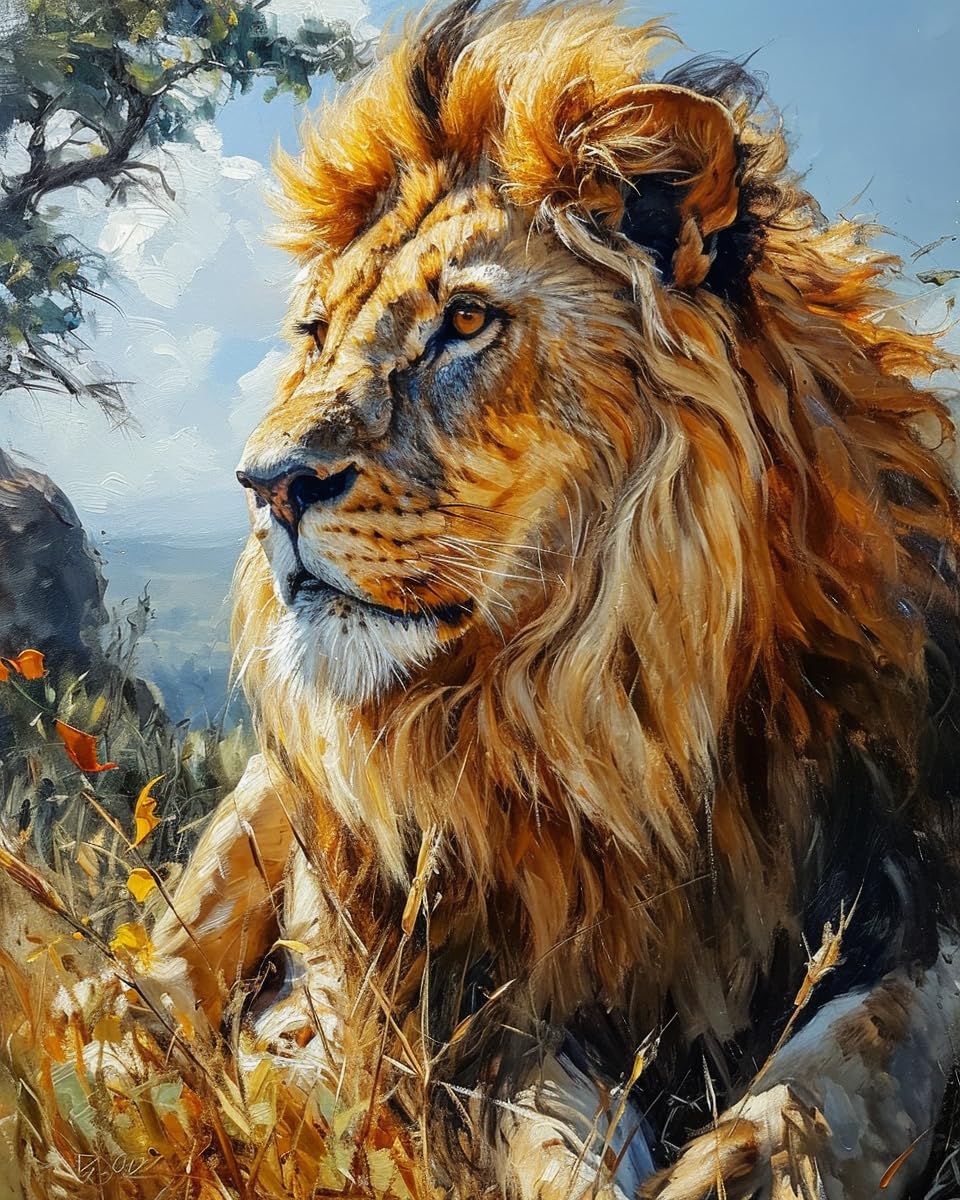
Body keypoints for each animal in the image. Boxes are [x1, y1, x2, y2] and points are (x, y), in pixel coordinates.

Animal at [149, 3, 960, 1196]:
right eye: (315, 336)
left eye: (467, 320)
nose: (266, 482)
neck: (615, 713)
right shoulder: (488, 1000)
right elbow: (549, 1133)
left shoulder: (913, 899)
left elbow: (831, 1088)